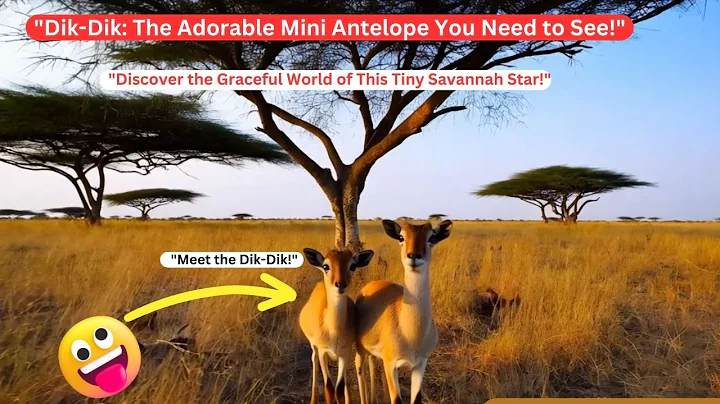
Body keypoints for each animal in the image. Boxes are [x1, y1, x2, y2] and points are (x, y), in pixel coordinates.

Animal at [300, 247, 375, 404]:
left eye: (353, 265)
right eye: (326, 266)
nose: (340, 284)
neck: (334, 331)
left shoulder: (344, 353)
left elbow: (339, 389)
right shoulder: (322, 352)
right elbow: (329, 388)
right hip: (314, 347)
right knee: (314, 361)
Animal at [354, 219, 452, 404]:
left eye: (432, 237)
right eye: (401, 237)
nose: (413, 256)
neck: (411, 333)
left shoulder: (420, 365)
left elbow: (415, 399)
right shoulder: (392, 364)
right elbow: (396, 400)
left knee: (372, 363)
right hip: (360, 348)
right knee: (359, 367)